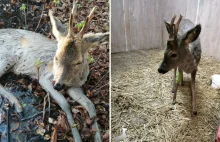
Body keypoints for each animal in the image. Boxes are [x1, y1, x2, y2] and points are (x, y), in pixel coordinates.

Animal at [0, 0, 107, 141]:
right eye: (56, 57)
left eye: (78, 61)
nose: (58, 85)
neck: (73, 79)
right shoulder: (45, 78)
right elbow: (65, 104)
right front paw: (77, 137)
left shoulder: (74, 86)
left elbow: (90, 105)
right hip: (7, 57)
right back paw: (18, 106)